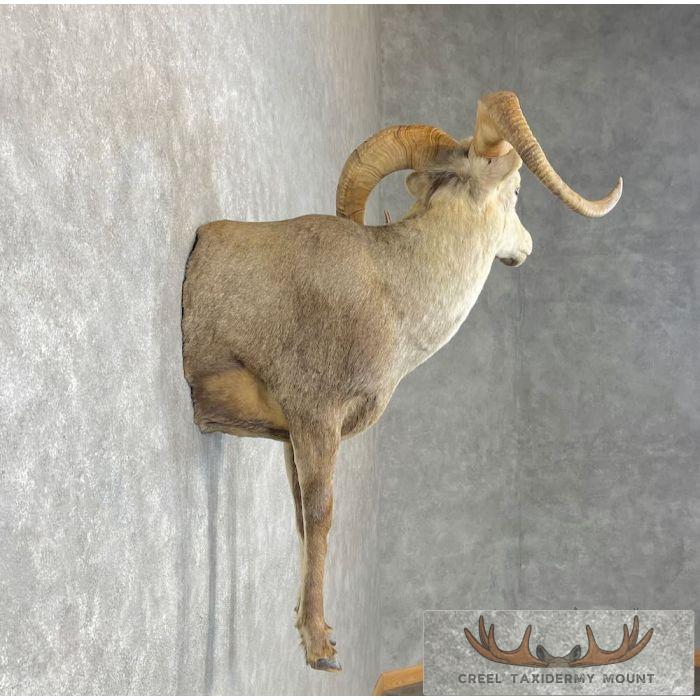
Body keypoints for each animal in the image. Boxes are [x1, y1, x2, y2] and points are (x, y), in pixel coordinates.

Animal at [181, 91, 622, 671]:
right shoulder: (314, 417)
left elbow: (301, 518)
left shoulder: (291, 437)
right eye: (516, 191)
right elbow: (320, 516)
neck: (393, 294)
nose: (525, 247)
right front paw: (320, 648)